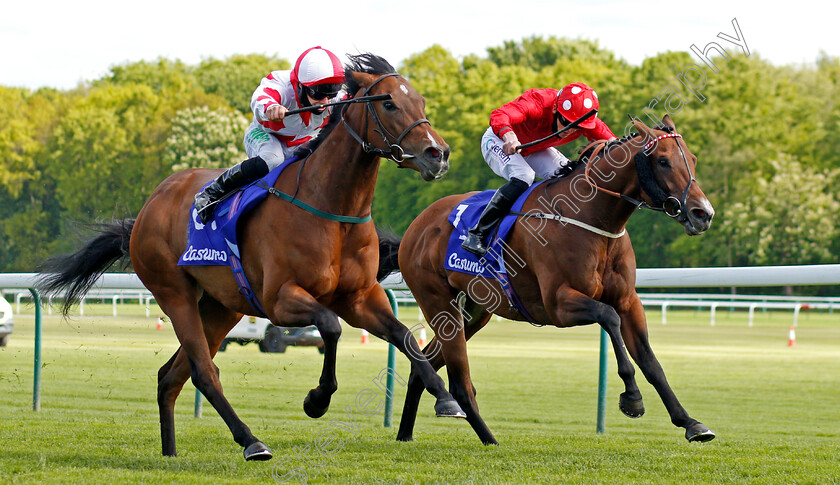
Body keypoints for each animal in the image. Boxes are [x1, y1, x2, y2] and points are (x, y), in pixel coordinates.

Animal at [37, 54, 466, 460]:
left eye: (420, 101)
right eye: (390, 103)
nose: (439, 154)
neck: (329, 208)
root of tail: (145, 211)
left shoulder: (360, 297)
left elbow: (405, 337)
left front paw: (446, 399)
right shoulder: (280, 299)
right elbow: (330, 327)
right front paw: (316, 400)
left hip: (220, 307)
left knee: (169, 376)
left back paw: (171, 451)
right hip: (174, 294)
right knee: (203, 372)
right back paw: (251, 441)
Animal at [384, 115, 720, 444]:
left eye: (692, 158)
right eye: (663, 161)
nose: (703, 213)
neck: (590, 218)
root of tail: (417, 226)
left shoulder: (628, 301)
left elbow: (651, 362)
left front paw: (690, 423)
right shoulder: (558, 304)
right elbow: (608, 317)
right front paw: (632, 397)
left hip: (474, 313)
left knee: (423, 365)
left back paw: (405, 435)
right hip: (438, 302)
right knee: (460, 383)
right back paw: (489, 439)